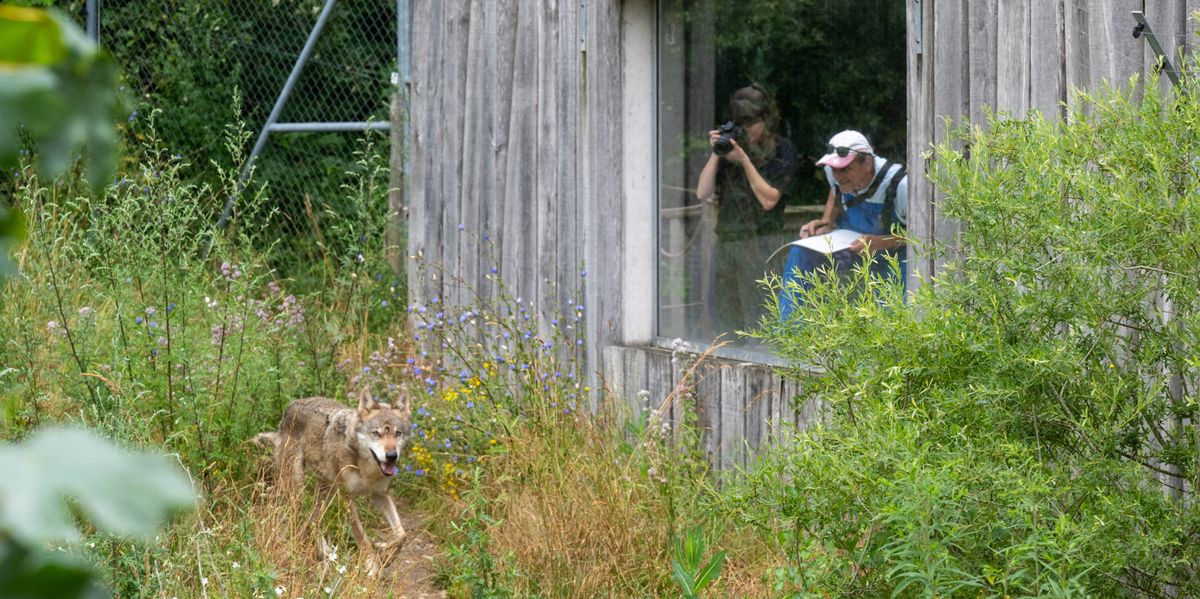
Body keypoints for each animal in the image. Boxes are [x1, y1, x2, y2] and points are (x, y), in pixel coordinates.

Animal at [254, 390, 411, 572]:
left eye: (398, 433)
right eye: (376, 433)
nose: (391, 456)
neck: (367, 469)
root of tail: (289, 408)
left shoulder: (380, 494)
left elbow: (402, 534)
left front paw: (386, 552)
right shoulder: (346, 499)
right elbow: (362, 538)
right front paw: (372, 567)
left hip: (326, 491)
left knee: (313, 520)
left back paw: (325, 552)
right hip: (299, 489)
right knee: (302, 517)